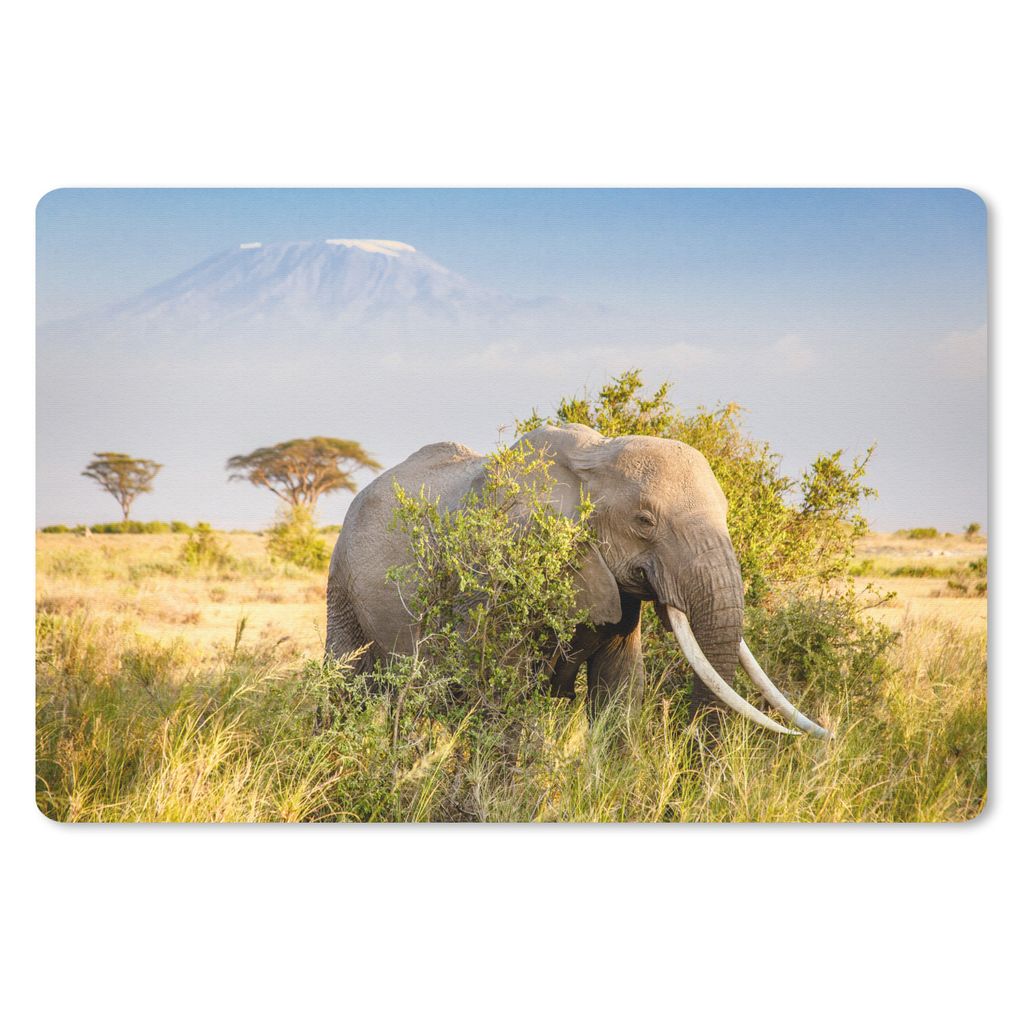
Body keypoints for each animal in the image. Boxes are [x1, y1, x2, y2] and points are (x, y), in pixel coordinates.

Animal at [325, 423, 830, 738]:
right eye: (644, 521)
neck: (593, 459)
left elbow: (620, 693)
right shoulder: (499, 568)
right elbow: (503, 694)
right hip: (342, 582)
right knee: (344, 684)